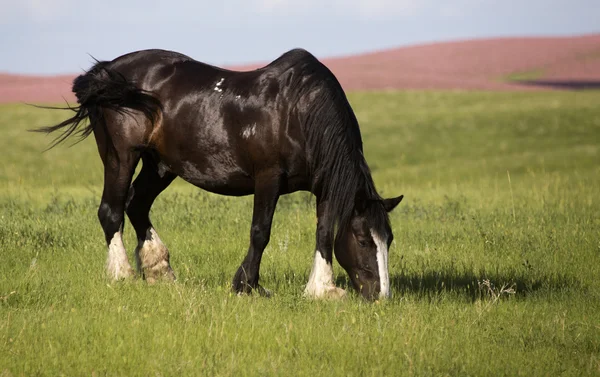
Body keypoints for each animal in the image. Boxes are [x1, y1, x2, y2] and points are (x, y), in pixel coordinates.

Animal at [36, 47, 404, 300]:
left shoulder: (326, 187)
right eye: (362, 240)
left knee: (136, 205)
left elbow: (324, 232)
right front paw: (247, 286)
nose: (380, 296)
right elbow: (261, 231)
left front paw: (321, 290)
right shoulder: (268, 178)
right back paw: (122, 274)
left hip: (160, 165)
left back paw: (158, 269)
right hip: (121, 157)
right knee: (111, 211)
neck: (299, 112)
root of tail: (107, 72)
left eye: (388, 239)